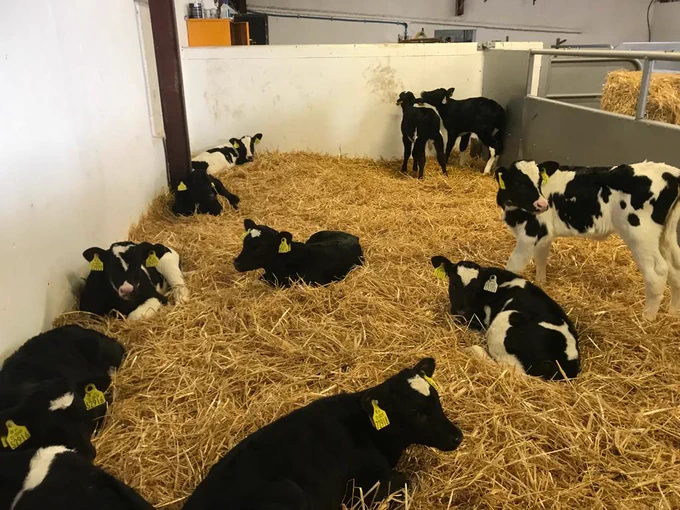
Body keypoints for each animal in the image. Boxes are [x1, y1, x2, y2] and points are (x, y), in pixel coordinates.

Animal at [182, 358, 463, 510]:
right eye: (415, 412)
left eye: (437, 399)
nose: (457, 436)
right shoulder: (367, 485)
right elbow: (406, 483)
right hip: (289, 491)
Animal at [495, 160, 680, 320]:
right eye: (519, 183)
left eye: (539, 181)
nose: (543, 205)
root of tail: (672, 173)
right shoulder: (544, 233)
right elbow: (541, 258)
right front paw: (541, 283)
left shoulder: (530, 233)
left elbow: (513, 266)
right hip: (665, 235)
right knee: (674, 268)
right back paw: (672, 313)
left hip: (640, 234)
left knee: (657, 273)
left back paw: (646, 320)